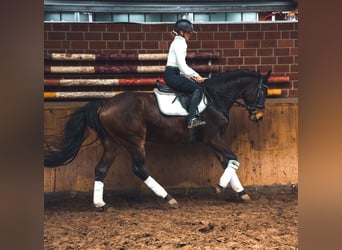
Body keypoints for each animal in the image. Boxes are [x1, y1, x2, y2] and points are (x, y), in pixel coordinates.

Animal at [44, 69, 270, 211]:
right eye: (263, 91)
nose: (258, 116)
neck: (215, 98)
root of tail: (105, 104)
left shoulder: (214, 140)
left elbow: (228, 161)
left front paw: (241, 193)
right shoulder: (213, 138)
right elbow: (233, 159)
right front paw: (220, 187)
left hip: (113, 143)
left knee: (101, 169)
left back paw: (101, 205)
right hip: (134, 140)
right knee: (139, 169)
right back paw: (169, 198)